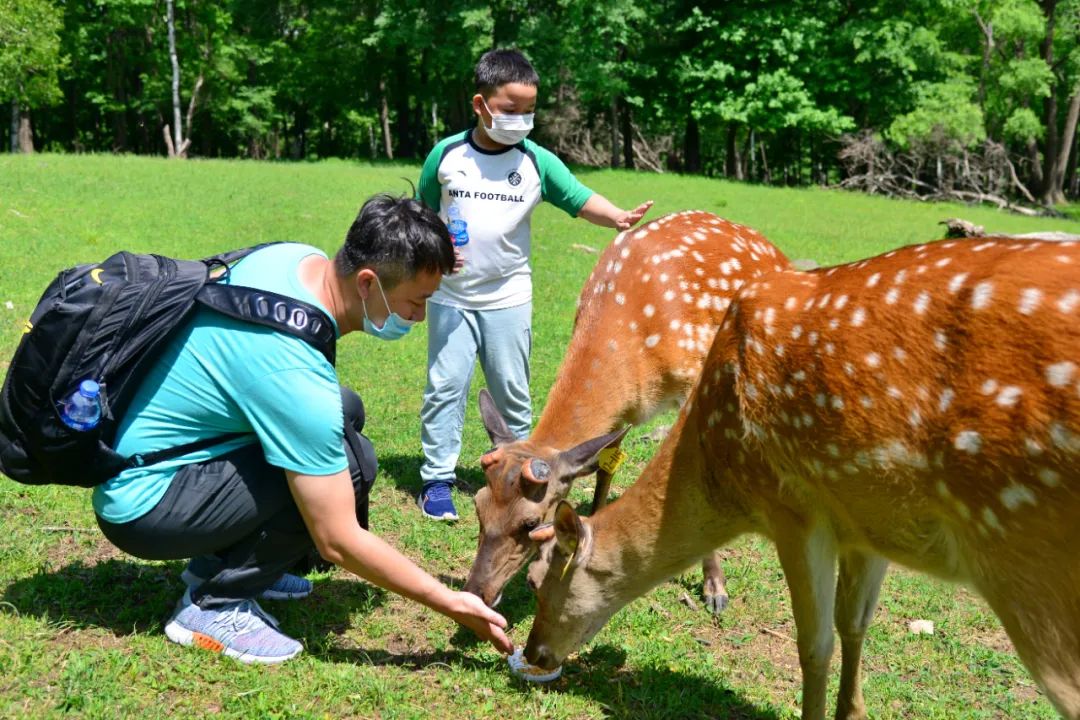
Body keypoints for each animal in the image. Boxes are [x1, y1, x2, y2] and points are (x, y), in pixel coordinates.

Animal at [468, 209, 790, 613]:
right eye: (478, 507)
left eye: (529, 522)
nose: (476, 592)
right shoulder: (623, 414)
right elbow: (605, 470)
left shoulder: (692, 377)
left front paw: (715, 587)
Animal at [522, 237, 1080, 720]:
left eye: (538, 580)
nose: (533, 652)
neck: (720, 472)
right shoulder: (869, 525)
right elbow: (854, 623)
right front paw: (852, 710)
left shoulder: (793, 509)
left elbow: (814, 646)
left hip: (1026, 555)